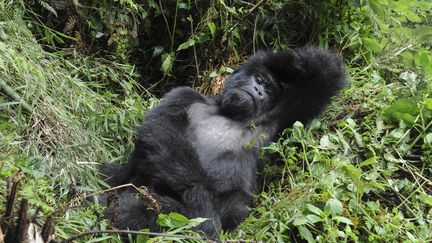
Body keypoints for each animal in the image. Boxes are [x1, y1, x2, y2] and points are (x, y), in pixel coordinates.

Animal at [99, 45, 346, 239]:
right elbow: (161, 127)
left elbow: (322, 76)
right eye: (260, 80)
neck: (226, 110)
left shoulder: (277, 118)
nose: (259, 91)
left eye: (269, 90)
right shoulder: (185, 94)